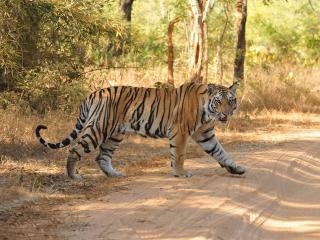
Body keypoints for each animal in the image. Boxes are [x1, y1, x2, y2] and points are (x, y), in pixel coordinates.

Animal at [35, 81, 245, 179]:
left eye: (231, 101)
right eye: (219, 101)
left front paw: (236, 168)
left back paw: (114, 174)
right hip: (98, 128)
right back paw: (73, 176)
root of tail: (93, 94)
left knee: (102, 157)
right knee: (75, 150)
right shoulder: (180, 132)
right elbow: (179, 155)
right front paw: (180, 173)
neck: (207, 111)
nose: (226, 113)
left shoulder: (205, 134)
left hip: (115, 135)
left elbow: (220, 152)